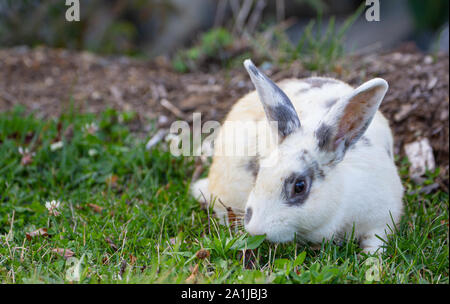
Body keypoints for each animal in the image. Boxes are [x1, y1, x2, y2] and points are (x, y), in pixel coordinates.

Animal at [191, 59, 404, 254]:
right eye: (259, 172)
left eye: (299, 186)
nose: (256, 229)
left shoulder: (381, 220)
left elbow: (375, 247)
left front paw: (372, 267)